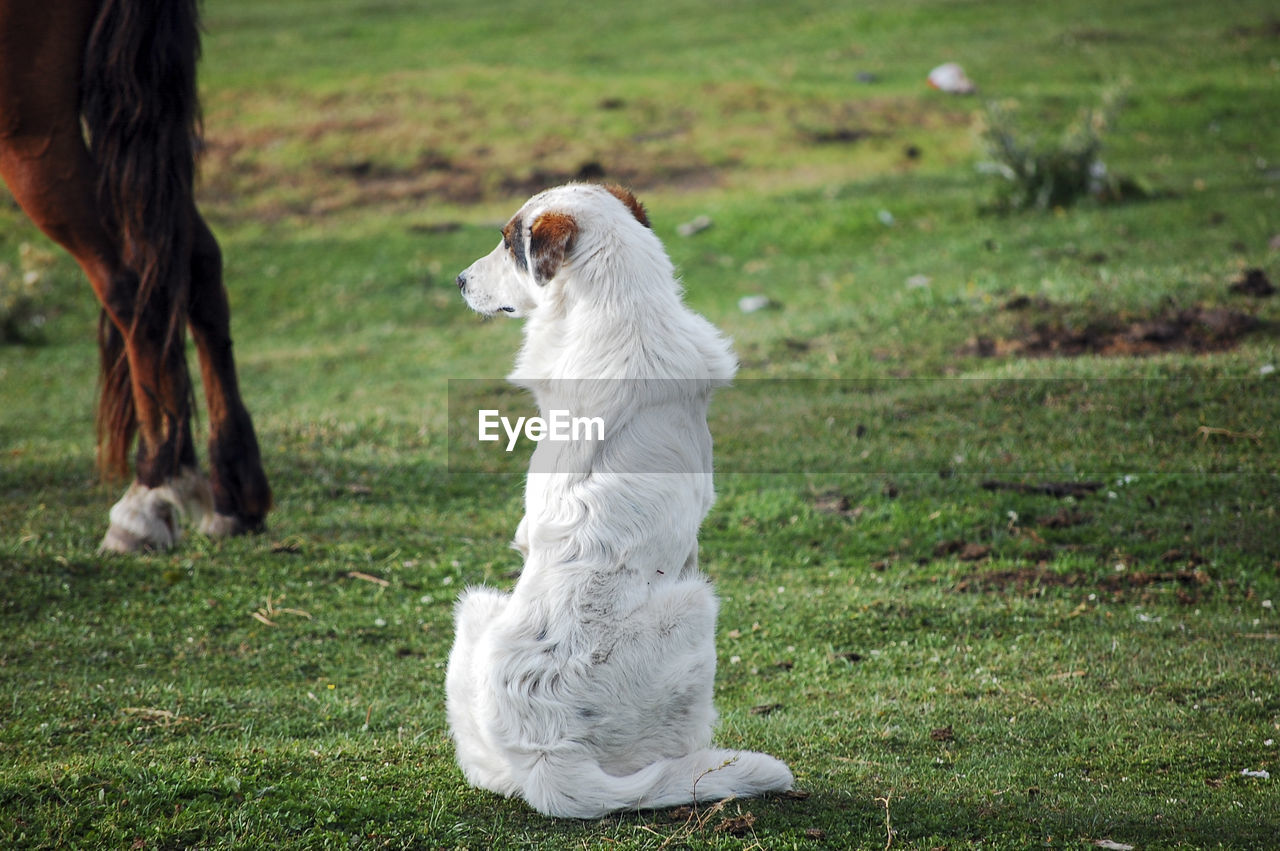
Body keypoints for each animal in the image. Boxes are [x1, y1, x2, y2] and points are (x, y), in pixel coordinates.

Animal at [445, 180, 793, 819]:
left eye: (508, 244)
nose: (458, 280)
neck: (618, 308)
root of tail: (548, 756)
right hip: (697, 608)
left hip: (477, 610)